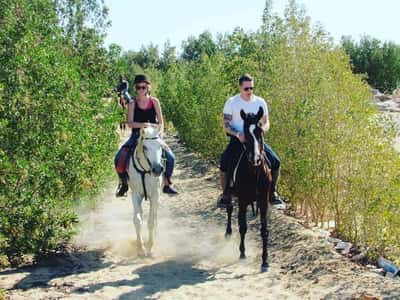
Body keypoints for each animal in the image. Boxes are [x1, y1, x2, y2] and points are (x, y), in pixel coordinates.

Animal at [129, 126, 165, 255]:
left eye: (160, 145)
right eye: (144, 147)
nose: (157, 169)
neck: (145, 170)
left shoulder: (155, 195)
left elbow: (151, 222)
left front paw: (150, 246)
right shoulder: (135, 194)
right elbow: (137, 220)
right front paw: (140, 248)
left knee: (154, 215)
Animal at [225, 107, 272, 272]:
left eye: (260, 131)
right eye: (245, 131)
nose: (256, 159)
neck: (254, 171)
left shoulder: (263, 201)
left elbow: (264, 230)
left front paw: (265, 261)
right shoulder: (243, 200)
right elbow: (243, 227)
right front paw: (242, 253)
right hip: (230, 193)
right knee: (229, 208)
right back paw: (228, 232)